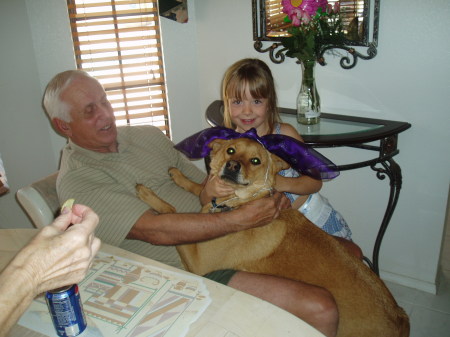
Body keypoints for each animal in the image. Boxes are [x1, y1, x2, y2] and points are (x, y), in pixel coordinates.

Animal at [135, 137, 410, 336]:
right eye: (231, 150)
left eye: (255, 160)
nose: (232, 166)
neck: (237, 202)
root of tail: (400, 318)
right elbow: (199, 187)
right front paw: (178, 176)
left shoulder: (199, 263)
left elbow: (171, 211)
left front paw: (147, 195)